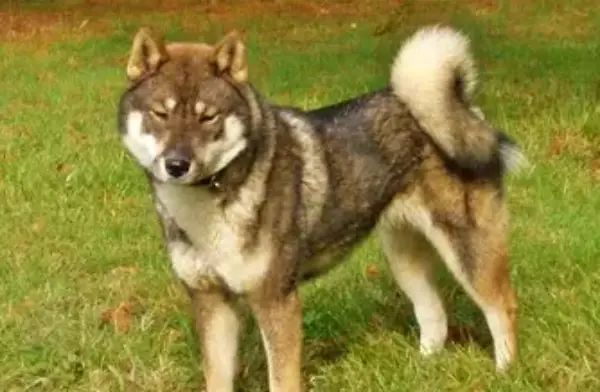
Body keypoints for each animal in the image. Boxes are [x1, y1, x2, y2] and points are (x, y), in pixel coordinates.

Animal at [116, 23, 524, 392]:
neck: (212, 200)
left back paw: (505, 373)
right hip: (403, 255)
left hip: (468, 251)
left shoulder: (277, 302)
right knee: (433, 314)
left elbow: (282, 381)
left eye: (207, 116)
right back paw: (422, 371)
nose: (176, 164)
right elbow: (217, 378)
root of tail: (463, 107)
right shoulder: (212, 303)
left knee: (501, 307)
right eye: (160, 113)